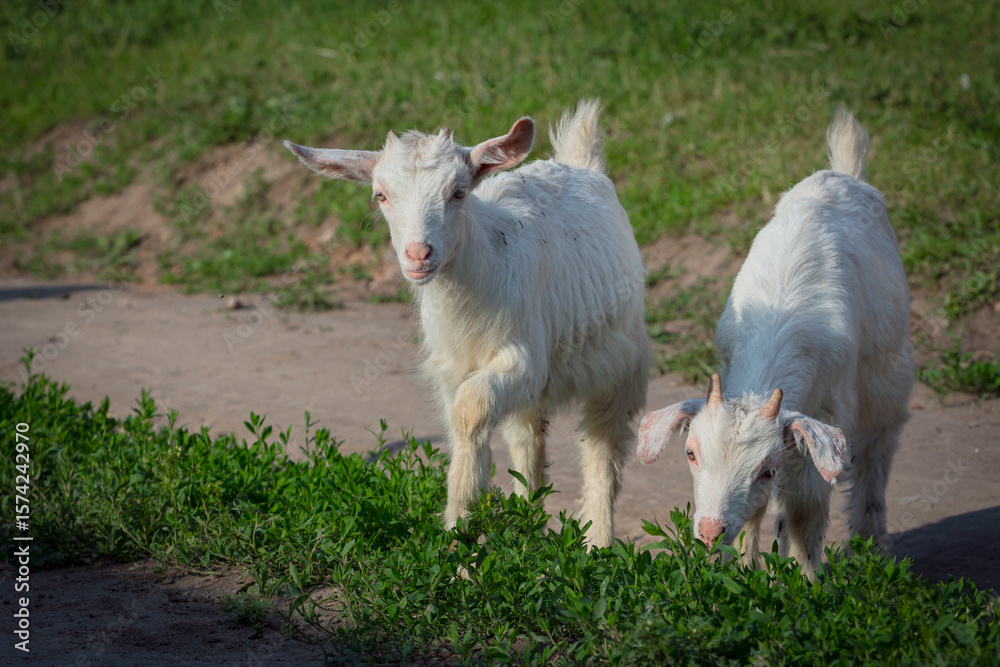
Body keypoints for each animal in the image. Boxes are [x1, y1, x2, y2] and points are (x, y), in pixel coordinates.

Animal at [285, 100, 650, 547]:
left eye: (458, 192)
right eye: (380, 195)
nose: (418, 254)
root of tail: (581, 163)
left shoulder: (524, 357)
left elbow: (471, 409)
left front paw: (461, 530)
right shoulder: (451, 370)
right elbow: (466, 423)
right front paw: (465, 536)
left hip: (621, 363)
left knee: (602, 449)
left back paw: (597, 542)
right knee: (528, 437)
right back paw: (527, 522)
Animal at [636, 108, 913, 576]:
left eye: (766, 469)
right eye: (690, 453)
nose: (709, 532)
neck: (779, 324)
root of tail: (843, 173)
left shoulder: (823, 417)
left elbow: (806, 514)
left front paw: (806, 580)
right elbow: (759, 512)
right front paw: (746, 570)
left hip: (888, 380)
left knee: (877, 455)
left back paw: (873, 549)